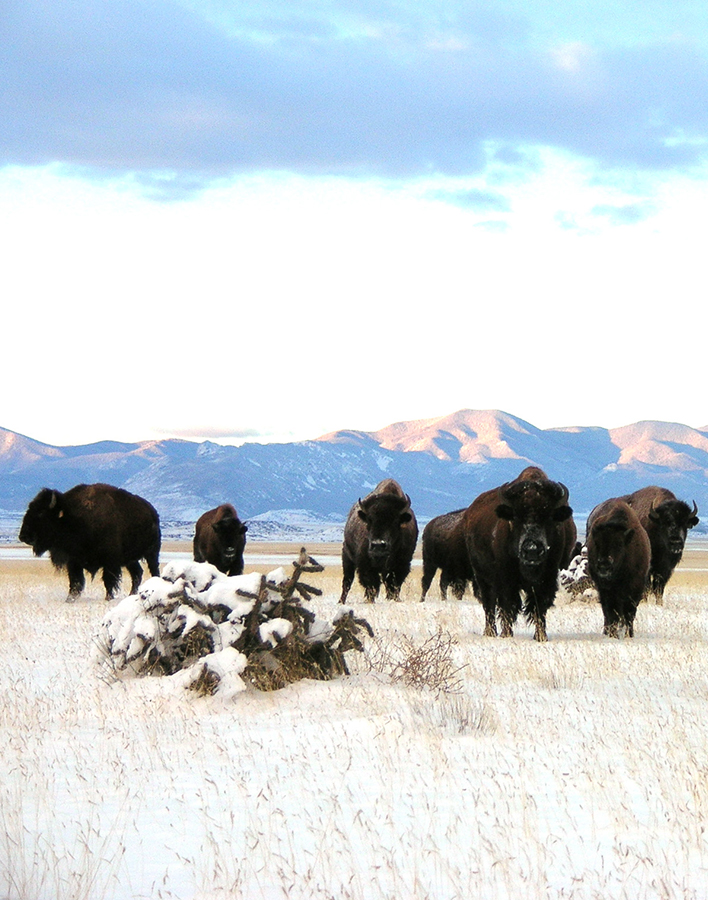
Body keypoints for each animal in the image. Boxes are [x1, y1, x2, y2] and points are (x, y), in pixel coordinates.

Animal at [19, 483, 161, 601]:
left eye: (41, 513)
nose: (23, 536)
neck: (72, 516)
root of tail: (152, 512)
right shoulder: (74, 561)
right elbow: (75, 581)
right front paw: (70, 599)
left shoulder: (110, 561)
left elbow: (108, 581)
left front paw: (108, 598)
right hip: (130, 560)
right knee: (137, 573)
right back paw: (132, 594)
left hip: (152, 553)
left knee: (153, 571)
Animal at [463, 466, 575, 641]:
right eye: (516, 516)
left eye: (549, 516)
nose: (532, 550)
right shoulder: (505, 578)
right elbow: (507, 605)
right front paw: (506, 634)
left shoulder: (548, 577)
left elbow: (539, 606)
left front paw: (541, 636)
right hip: (482, 577)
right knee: (489, 605)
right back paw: (490, 632)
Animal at [586, 498, 651, 638]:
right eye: (596, 543)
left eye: (619, 544)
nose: (604, 565)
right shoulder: (607, 590)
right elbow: (611, 612)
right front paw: (613, 634)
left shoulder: (635, 587)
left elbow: (629, 613)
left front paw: (629, 635)